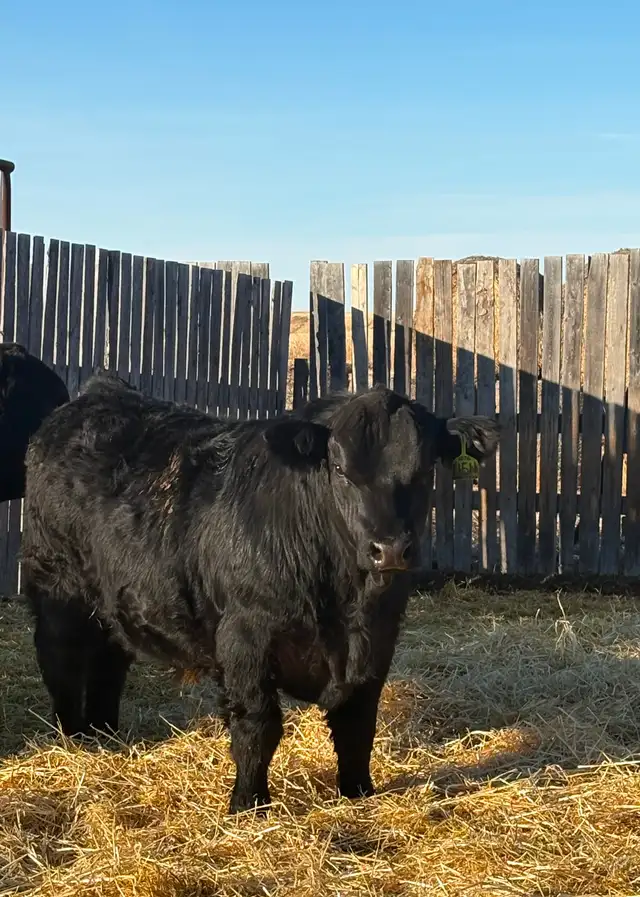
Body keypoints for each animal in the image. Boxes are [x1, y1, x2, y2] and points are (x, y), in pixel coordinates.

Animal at [21, 375, 500, 814]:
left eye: (424, 471)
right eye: (340, 470)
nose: (391, 548)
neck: (345, 600)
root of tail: (99, 392)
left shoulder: (378, 639)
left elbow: (358, 723)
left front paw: (358, 792)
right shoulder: (245, 637)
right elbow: (258, 725)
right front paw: (248, 804)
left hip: (112, 600)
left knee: (109, 659)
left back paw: (105, 735)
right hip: (58, 585)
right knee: (60, 656)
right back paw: (74, 740)